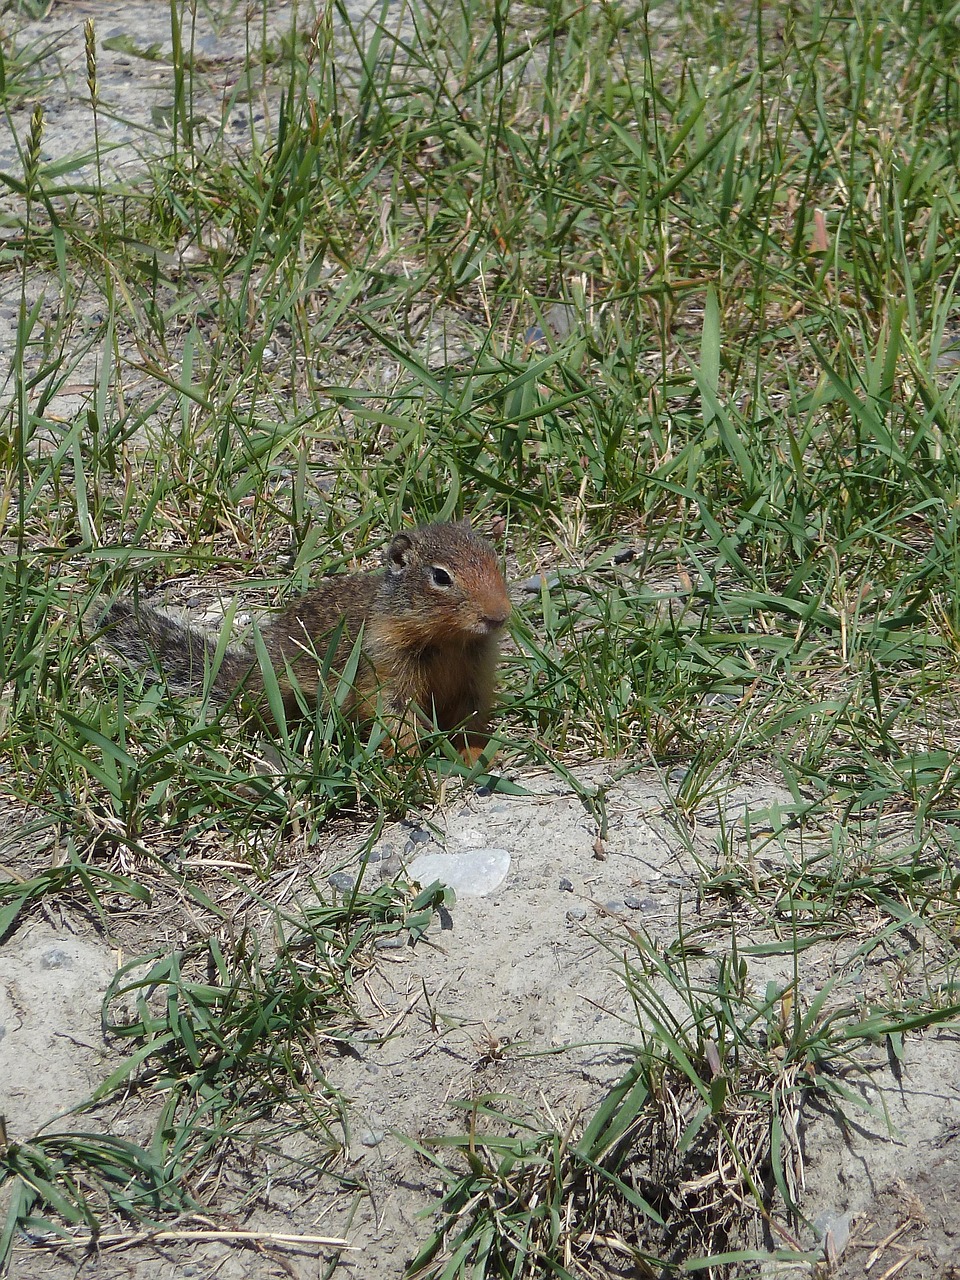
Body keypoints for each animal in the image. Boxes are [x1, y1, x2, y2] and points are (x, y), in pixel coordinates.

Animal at [99, 519, 512, 757]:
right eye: (441, 576)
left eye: (496, 559)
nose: (499, 616)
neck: (449, 641)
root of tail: (242, 671)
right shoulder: (385, 667)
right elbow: (395, 718)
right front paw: (412, 759)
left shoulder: (475, 678)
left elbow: (471, 720)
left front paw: (478, 755)